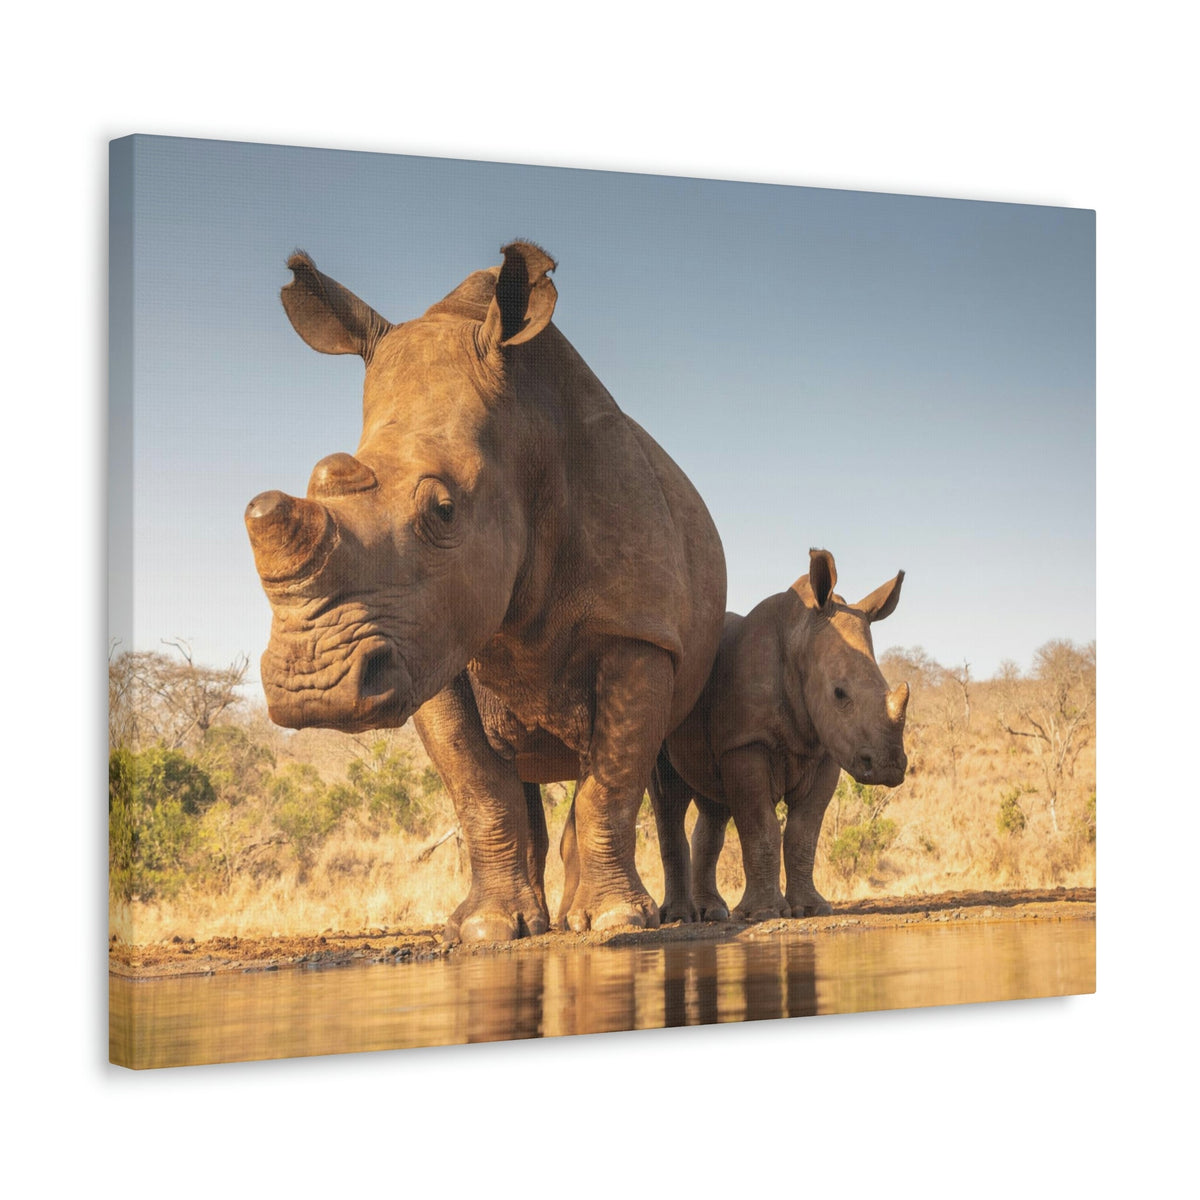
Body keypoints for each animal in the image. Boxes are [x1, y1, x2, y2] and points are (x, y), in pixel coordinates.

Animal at [245, 241, 727, 940]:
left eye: (443, 511)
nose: (314, 688)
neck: (523, 434)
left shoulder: (637, 628)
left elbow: (612, 780)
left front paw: (614, 921)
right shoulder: (429, 641)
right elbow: (476, 784)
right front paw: (487, 929)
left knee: (659, 774)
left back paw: (658, 917)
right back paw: (546, 920)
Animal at [650, 548, 908, 922]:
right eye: (839, 693)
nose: (889, 767)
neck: (799, 637)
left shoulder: (826, 749)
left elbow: (804, 832)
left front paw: (812, 908)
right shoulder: (746, 742)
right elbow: (761, 827)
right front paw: (764, 913)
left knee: (713, 806)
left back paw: (713, 913)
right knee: (667, 796)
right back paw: (679, 917)